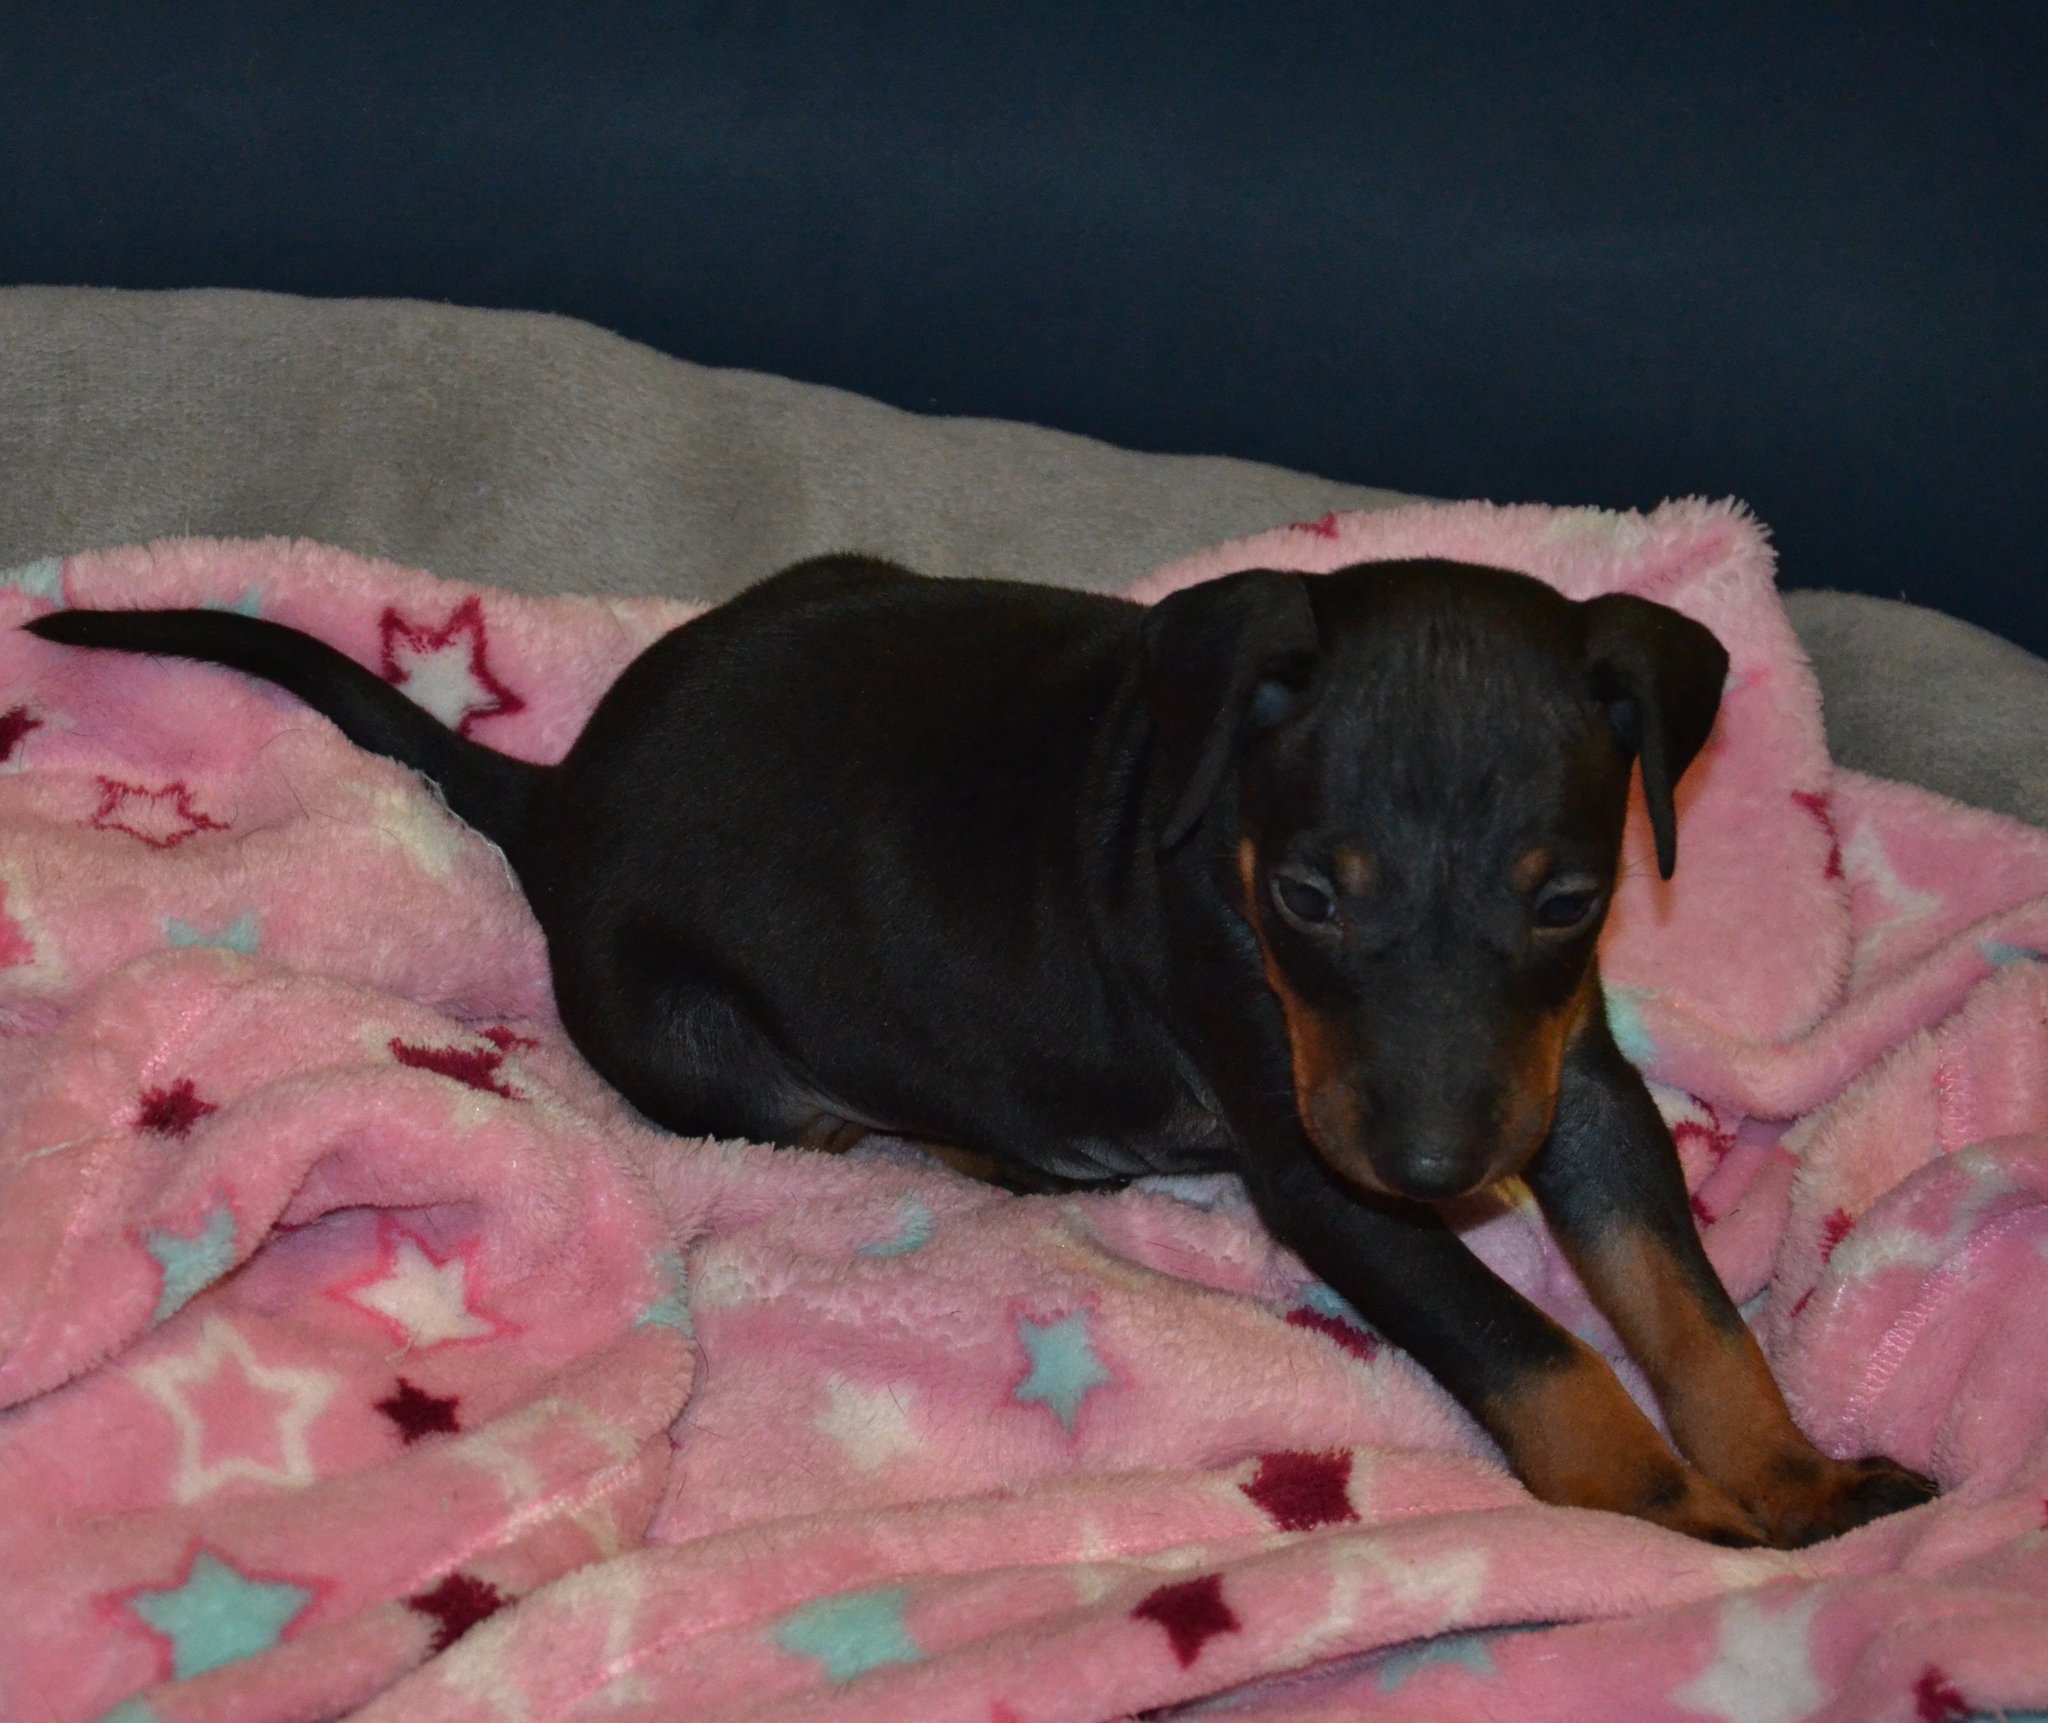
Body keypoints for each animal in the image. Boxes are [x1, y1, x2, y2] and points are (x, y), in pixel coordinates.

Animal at [27, 554, 1937, 1545]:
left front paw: (1790, 1479)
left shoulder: (1574, 1084)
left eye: (1567, 897)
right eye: (1310, 894)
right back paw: (997, 1148)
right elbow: (1530, 1345)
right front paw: (1674, 1513)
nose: (1441, 1165)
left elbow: (1684, 1300)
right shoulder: (1309, 1149)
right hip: (711, 1054)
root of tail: (555, 792)